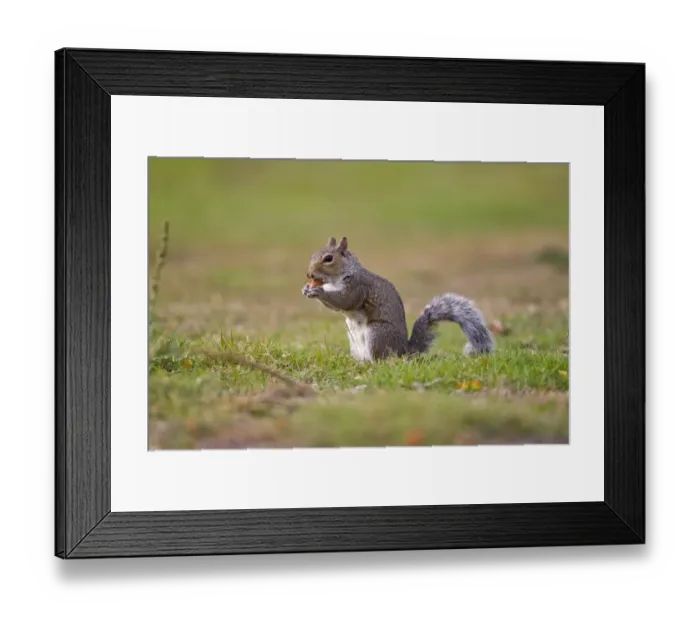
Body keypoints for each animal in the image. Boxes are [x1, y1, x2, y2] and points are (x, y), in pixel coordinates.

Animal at [302, 236, 495, 362]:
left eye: (328, 259)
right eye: (312, 255)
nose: (309, 274)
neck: (335, 280)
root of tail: (403, 351)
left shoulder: (358, 287)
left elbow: (345, 301)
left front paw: (319, 292)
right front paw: (306, 289)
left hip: (377, 334)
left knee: (383, 360)